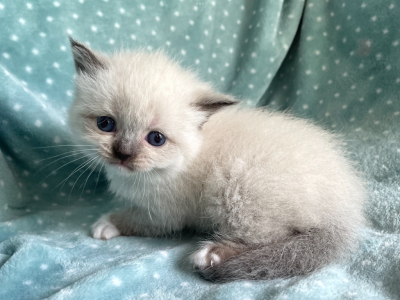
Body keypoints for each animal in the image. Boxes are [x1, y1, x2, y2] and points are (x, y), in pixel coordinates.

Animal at [67, 37, 364, 282]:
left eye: (156, 139)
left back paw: (210, 255)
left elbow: (133, 219)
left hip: (240, 187)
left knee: (270, 239)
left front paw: (107, 223)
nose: (123, 154)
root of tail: (346, 212)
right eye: (106, 124)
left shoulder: (163, 215)